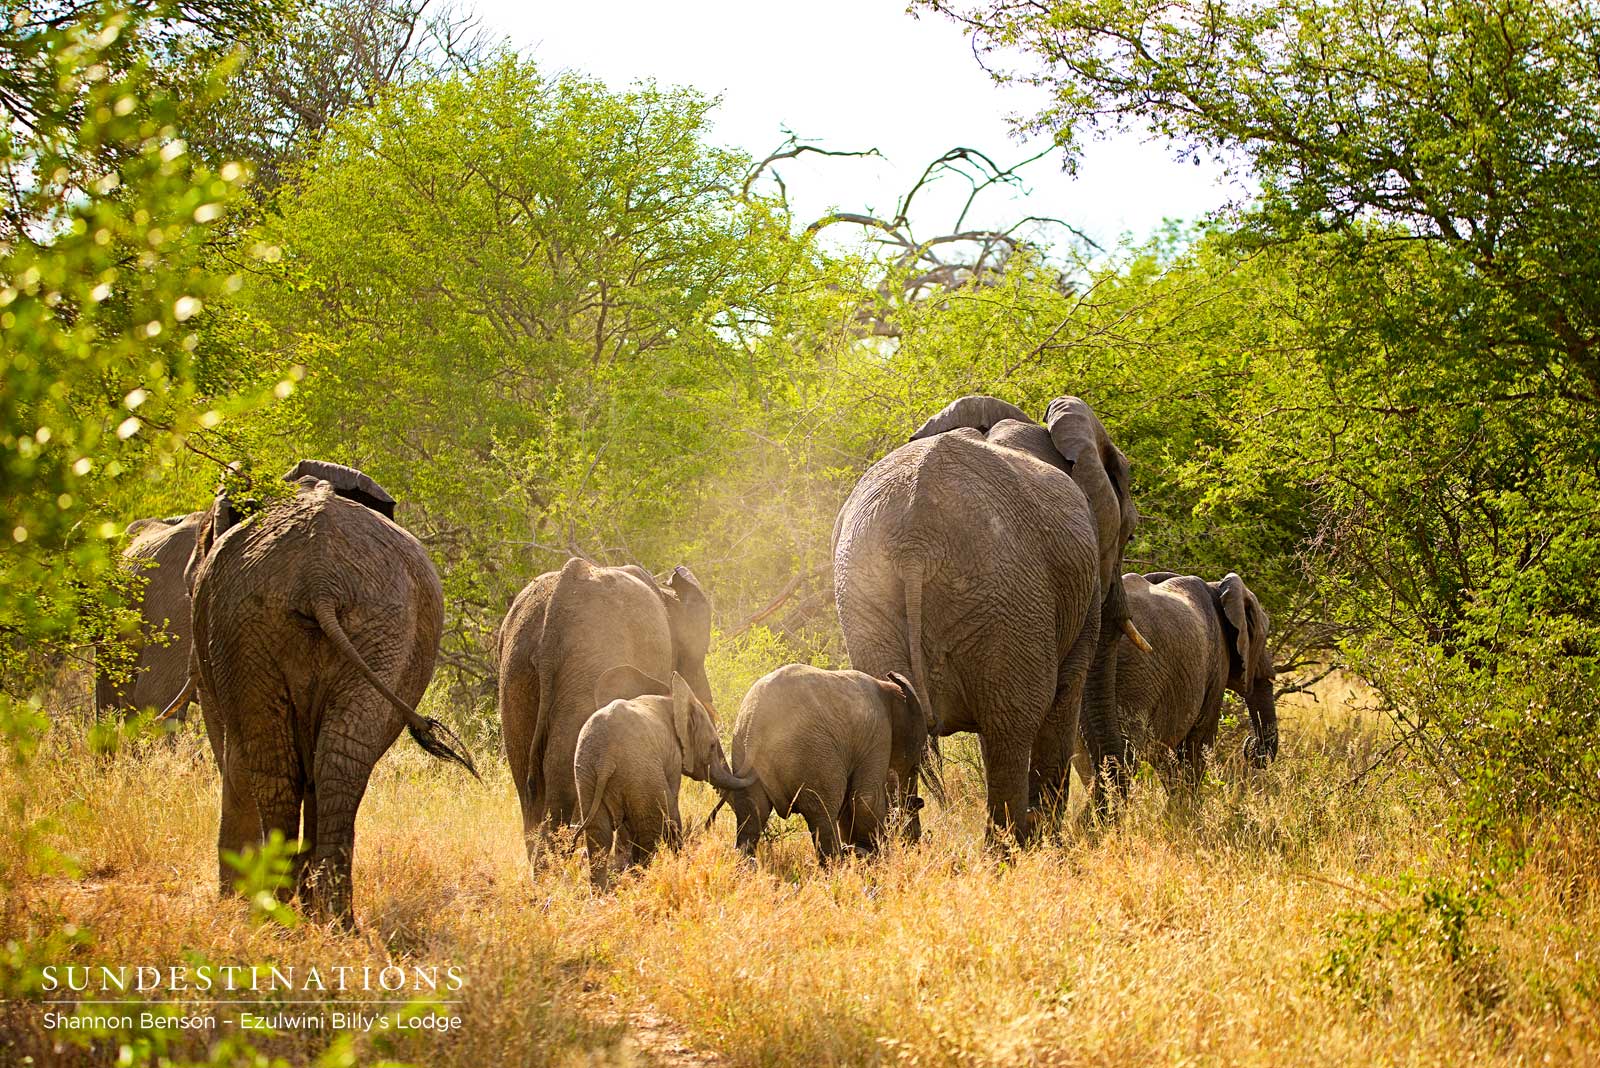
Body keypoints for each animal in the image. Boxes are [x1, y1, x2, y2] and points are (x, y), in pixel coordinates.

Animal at [170, 461, 476, 926]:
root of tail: (319, 578)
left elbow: (231, 752)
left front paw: (235, 900)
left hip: (262, 625)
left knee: (279, 764)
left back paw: (284, 912)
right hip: (367, 625)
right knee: (336, 760)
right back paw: (330, 921)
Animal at [573, 666, 751, 886]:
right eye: (711, 746)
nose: (709, 823)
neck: (673, 702)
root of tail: (606, 758)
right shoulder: (673, 756)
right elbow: (671, 804)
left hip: (588, 773)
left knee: (599, 835)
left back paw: (605, 889)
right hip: (639, 772)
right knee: (651, 830)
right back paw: (642, 878)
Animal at [708, 664, 944, 864]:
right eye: (916, 764)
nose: (914, 843)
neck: (889, 687)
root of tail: (755, 725)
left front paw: (861, 853)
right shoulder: (878, 735)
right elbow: (866, 798)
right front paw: (871, 856)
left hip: (743, 750)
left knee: (752, 812)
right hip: (812, 751)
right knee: (822, 811)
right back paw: (836, 865)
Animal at [832, 394, 1147, 842]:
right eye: (1130, 533)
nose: (1097, 820)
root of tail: (915, 540)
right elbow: (1065, 694)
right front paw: (1050, 841)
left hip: (870, 594)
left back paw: (903, 848)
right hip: (1006, 590)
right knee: (1010, 729)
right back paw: (1018, 847)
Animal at [1073, 571, 1279, 795]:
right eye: (1264, 637)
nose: (1250, 744)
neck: (1216, 587)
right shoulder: (1217, 666)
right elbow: (1197, 746)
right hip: (1132, 679)